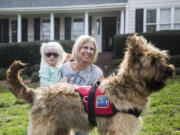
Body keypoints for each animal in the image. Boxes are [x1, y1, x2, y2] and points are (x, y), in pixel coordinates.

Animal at [6, 34, 174, 135]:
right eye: (153, 61)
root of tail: (38, 93)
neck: (128, 86)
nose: (171, 70)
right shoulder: (120, 127)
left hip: (60, 128)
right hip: (43, 128)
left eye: (162, 58)